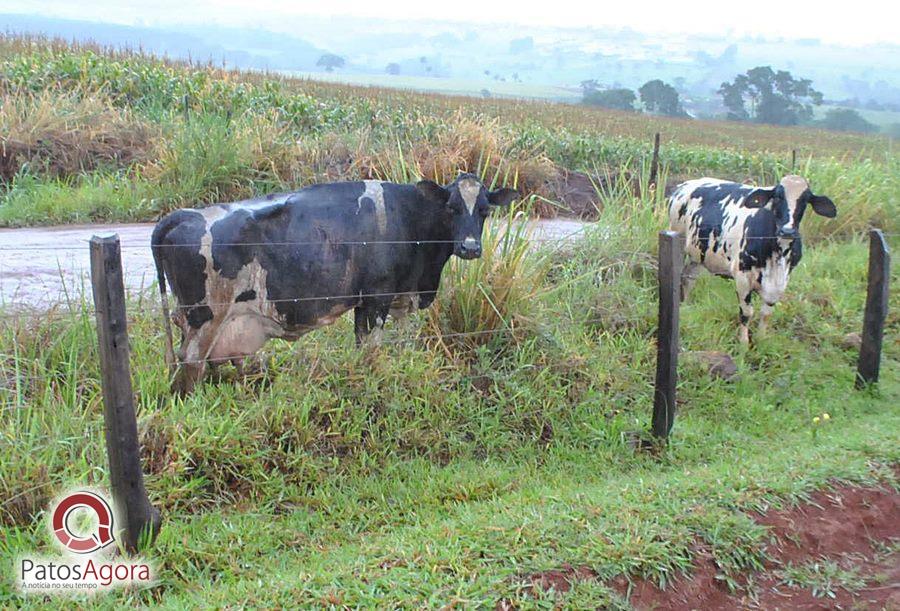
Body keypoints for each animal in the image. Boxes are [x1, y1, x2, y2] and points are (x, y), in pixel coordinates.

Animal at [151, 172, 516, 394]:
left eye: (484, 210)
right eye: (452, 207)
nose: (470, 247)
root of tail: (181, 215)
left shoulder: (363, 302)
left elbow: (360, 346)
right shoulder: (377, 298)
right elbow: (371, 350)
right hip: (207, 316)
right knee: (191, 361)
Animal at [668, 175, 836, 344]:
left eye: (805, 200)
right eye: (778, 196)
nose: (787, 231)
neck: (777, 256)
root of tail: (684, 185)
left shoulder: (781, 281)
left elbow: (766, 313)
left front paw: (761, 340)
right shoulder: (742, 276)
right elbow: (747, 312)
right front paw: (744, 343)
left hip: (698, 254)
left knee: (689, 278)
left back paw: (686, 305)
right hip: (679, 243)